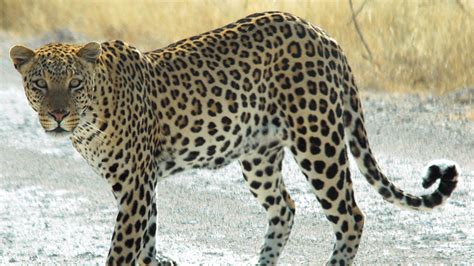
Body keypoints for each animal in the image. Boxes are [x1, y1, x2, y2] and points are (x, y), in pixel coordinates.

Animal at [8, 10, 460, 266]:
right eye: (39, 84)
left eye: (74, 84)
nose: (57, 116)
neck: (89, 119)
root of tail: (324, 35)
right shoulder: (143, 185)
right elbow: (147, 244)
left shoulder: (135, 184)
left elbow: (123, 249)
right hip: (258, 155)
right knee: (285, 207)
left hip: (318, 140)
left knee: (351, 215)